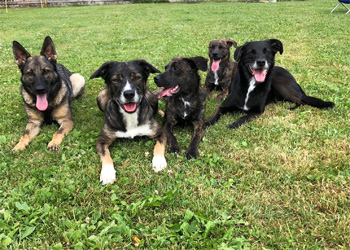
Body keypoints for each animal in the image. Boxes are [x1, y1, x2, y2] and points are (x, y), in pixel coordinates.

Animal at [206, 38, 334, 131]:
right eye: (251, 52)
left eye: (267, 51)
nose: (261, 62)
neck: (251, 84)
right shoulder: (223, 105)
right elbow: (215, 115)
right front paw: (207, 123)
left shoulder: (257, 112)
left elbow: (243, 118)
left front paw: (232, 125)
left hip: (279, 84)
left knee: (301, 101)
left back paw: (291, 108)